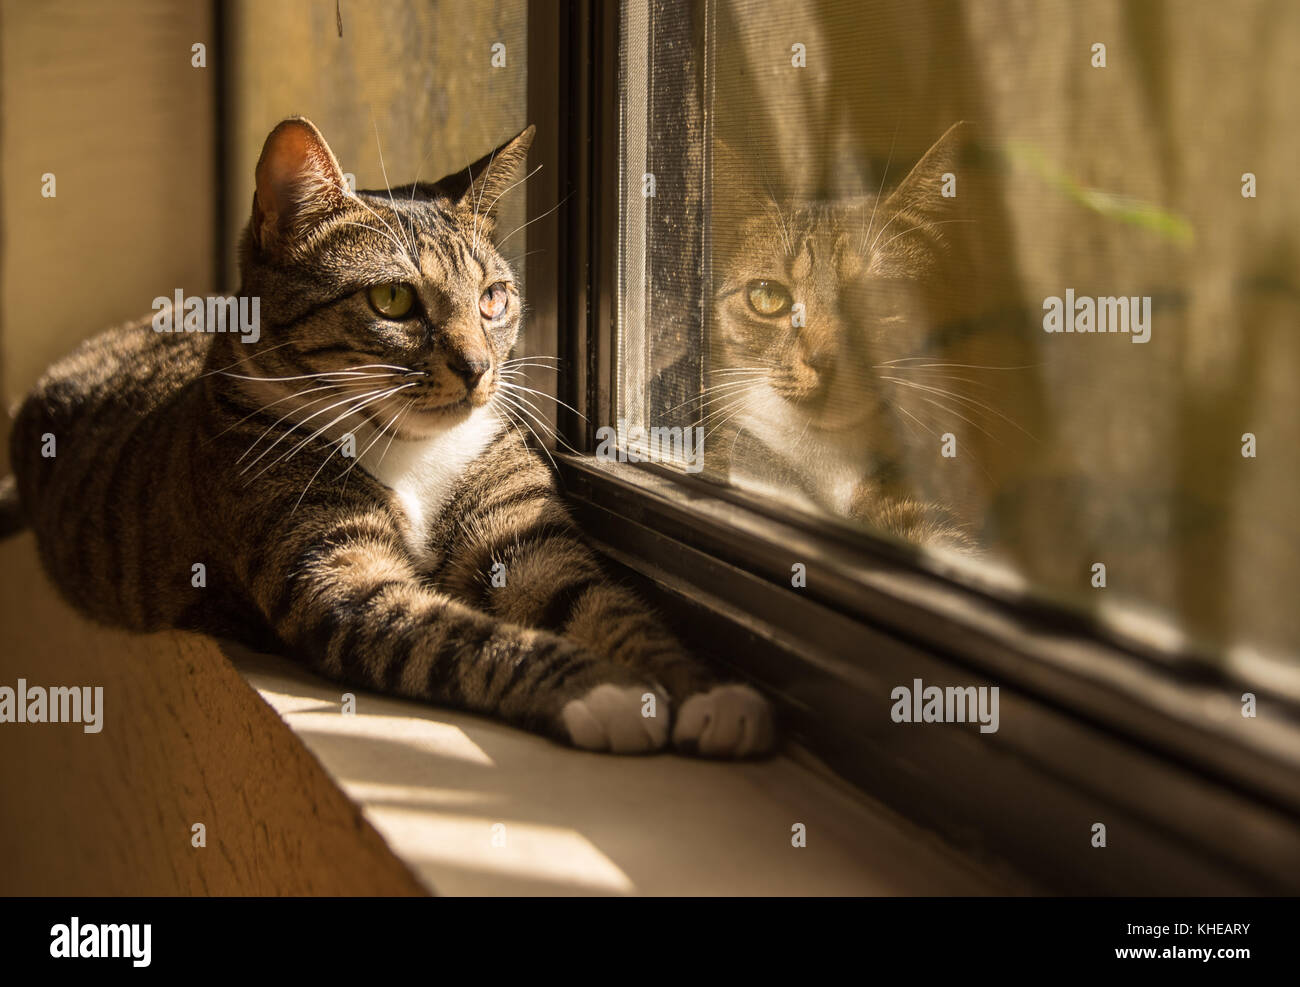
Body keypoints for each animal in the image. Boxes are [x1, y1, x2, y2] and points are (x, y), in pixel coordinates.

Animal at [2, 119, 769, 759]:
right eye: (393, 300)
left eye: (493, 298)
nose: (478, 367)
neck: (415, 453)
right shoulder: (336, 571)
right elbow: (464, 636)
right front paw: (601, 690)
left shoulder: (524, 540)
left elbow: (603, 602)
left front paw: (707, 693)